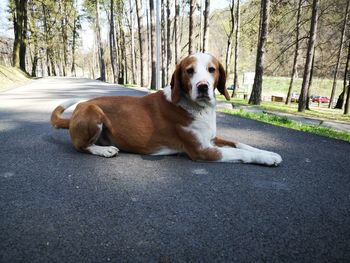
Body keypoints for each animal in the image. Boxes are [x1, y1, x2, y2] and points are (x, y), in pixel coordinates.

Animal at [51, 52, 282, 166]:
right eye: (189, 71)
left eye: (212, 69)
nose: (203, 87)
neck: (197, 108)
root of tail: (73, 117)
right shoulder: (202, 151)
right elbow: (239, 153)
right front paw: (266, 158)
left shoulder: (212, 139)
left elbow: (241, 144)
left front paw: (268, 152)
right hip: (92, 110)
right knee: (82, 146)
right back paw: (104, 150)